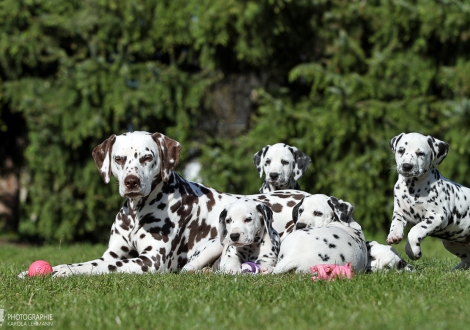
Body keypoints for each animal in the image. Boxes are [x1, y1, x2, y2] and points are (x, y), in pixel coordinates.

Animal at [17, 130, 308, 278]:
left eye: (147, 157)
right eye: (119, 159)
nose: (131, 182)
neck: (136, 213)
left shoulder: (151, 261)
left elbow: (104, 268)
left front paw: (61, 272)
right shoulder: (111, 255)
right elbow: (86, 263)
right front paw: (57, 268)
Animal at [388, 133, 470, 270]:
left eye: (420, 153)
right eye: (401, 150)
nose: (407, 166)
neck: (413, 187)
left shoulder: (438, 216)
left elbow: (414, 231)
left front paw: (413, 252)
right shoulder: (400, 213)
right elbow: (396, 224)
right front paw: (394, 235)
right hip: (452, 244)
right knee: (467, 260)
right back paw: (454, 270)